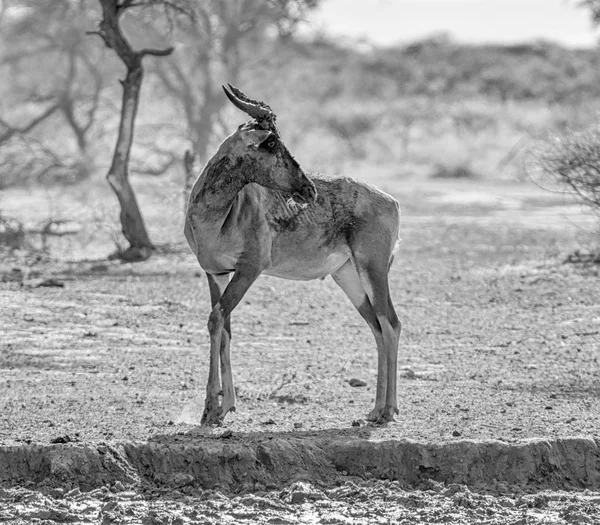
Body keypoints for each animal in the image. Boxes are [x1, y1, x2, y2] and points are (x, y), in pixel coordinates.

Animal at [183, 84, 398, 424]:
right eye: (271, 142)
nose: (309, 189)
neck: (220, 214)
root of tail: (392, 202)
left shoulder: (249, 269)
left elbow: (216, 319)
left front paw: (211, 409)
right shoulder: (215, 273)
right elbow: (225, 327)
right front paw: (226, 404)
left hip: (373, 269)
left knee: (390, 325)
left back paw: (387, 411)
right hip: (348, 276)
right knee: (378, 326)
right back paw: (376, 409)